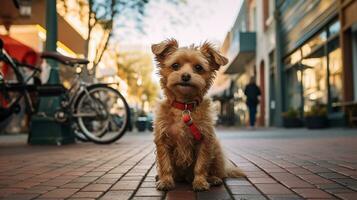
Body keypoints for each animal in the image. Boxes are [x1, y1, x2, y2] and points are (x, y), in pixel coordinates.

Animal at [150, 38, 245, 191]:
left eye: (198, 68)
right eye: (175, 65)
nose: (185, 76)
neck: (184, 107)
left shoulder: (204, 140)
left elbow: (201, 165)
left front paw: (200, 182)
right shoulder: (162, 141)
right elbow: (165, 164)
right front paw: (165, 181)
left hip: (216, 150)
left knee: (218, 172)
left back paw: (213, 178)